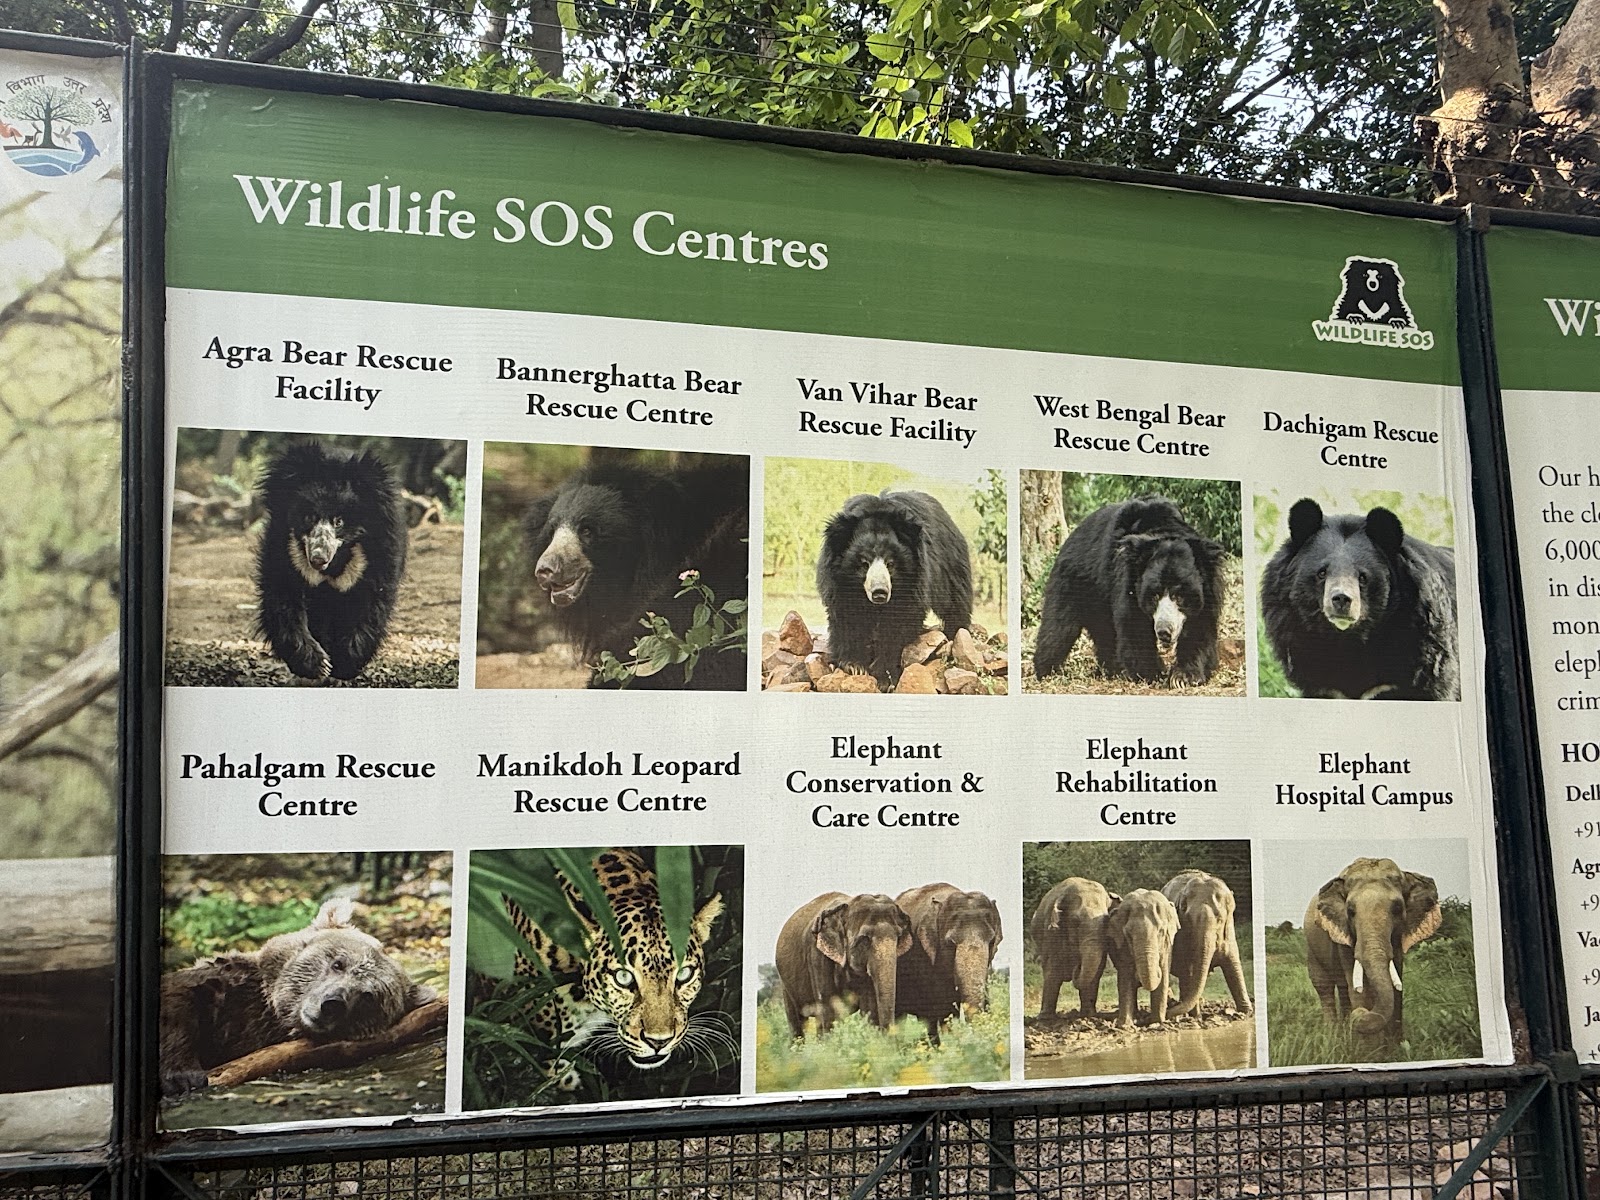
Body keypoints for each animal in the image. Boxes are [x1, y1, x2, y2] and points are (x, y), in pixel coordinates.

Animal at [159, 898, 436, 1096]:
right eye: (338, 963)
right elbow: (181, 999)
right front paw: (182, 1077)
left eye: (368, 996)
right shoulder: (227, 986)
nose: (332, 1004)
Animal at [256, 442, 407, 681]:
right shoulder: (286, 551)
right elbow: (283, 599)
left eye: (339, 521)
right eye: (309, 517)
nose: (318, 558)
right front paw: (317, 664)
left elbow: (370, 604)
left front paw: (344, 663)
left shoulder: (378, 556)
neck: (335, 564)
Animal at [815, 490, 973, 686]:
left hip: (950, 567)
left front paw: (885, 676)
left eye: (890, 563)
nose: (879, 593)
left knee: (955, 604)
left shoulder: (914, 583)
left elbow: (898, 624)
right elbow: (847, 617)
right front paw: (854, 666)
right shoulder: (839, 584)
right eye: (864, 563)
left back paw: (955, 634)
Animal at [1032, 495, 1225, 684]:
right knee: (1058, 631)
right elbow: (1134, 624)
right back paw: (1047, 672)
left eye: (1179, 596)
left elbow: (1200, 625)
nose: (1164, 632)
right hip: (1073, 582)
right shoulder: (1127, 579)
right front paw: (1154, 673)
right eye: (1154, 596)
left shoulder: (1207, 588)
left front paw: (1184, 676)